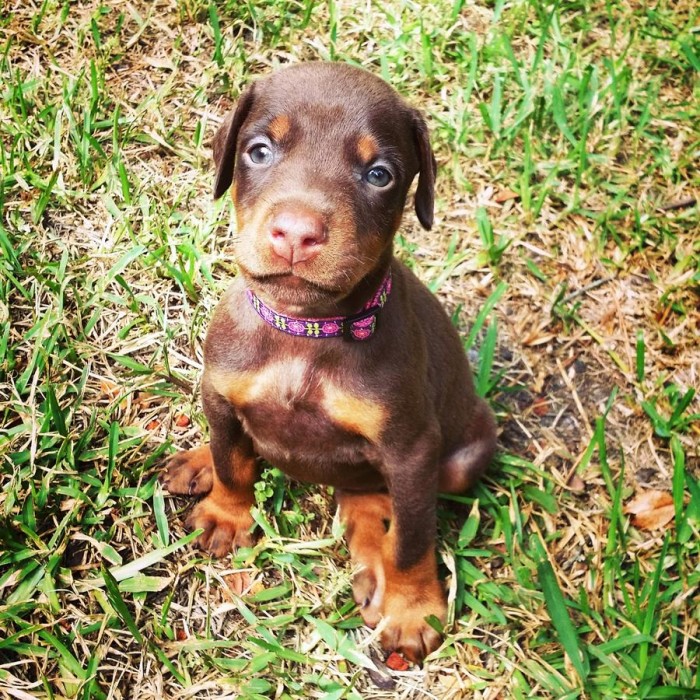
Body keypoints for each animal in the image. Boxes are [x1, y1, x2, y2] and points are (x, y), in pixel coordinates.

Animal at [161, 63, 494, 664]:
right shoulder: (220, 391)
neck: (305, 331)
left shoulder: (412, 448)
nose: (296, 232)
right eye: (259, 151)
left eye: (380, 174)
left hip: (461, 455)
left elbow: (413, 536)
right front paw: (226, 513)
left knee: (376, 500)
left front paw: (412, 608)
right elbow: (232, 462)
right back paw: (198, 461)